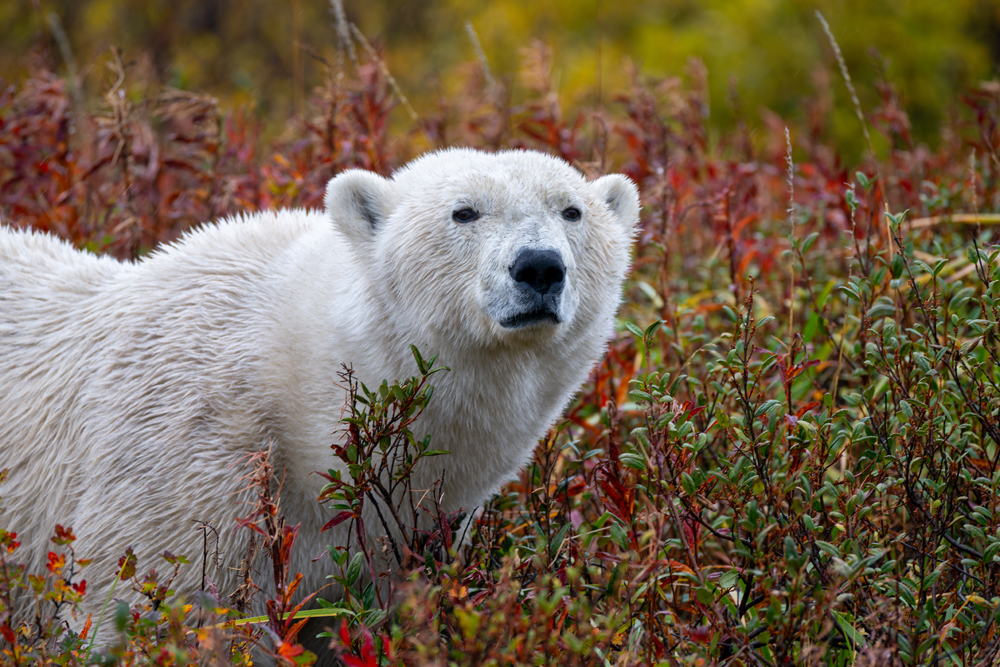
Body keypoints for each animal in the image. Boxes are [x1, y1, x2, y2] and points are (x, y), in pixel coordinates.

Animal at [0, 147, 638, 654]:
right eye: (465, 211)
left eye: (572, 210)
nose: (539, 267)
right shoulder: (184, 460)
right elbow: (138, 612)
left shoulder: (398, 543)